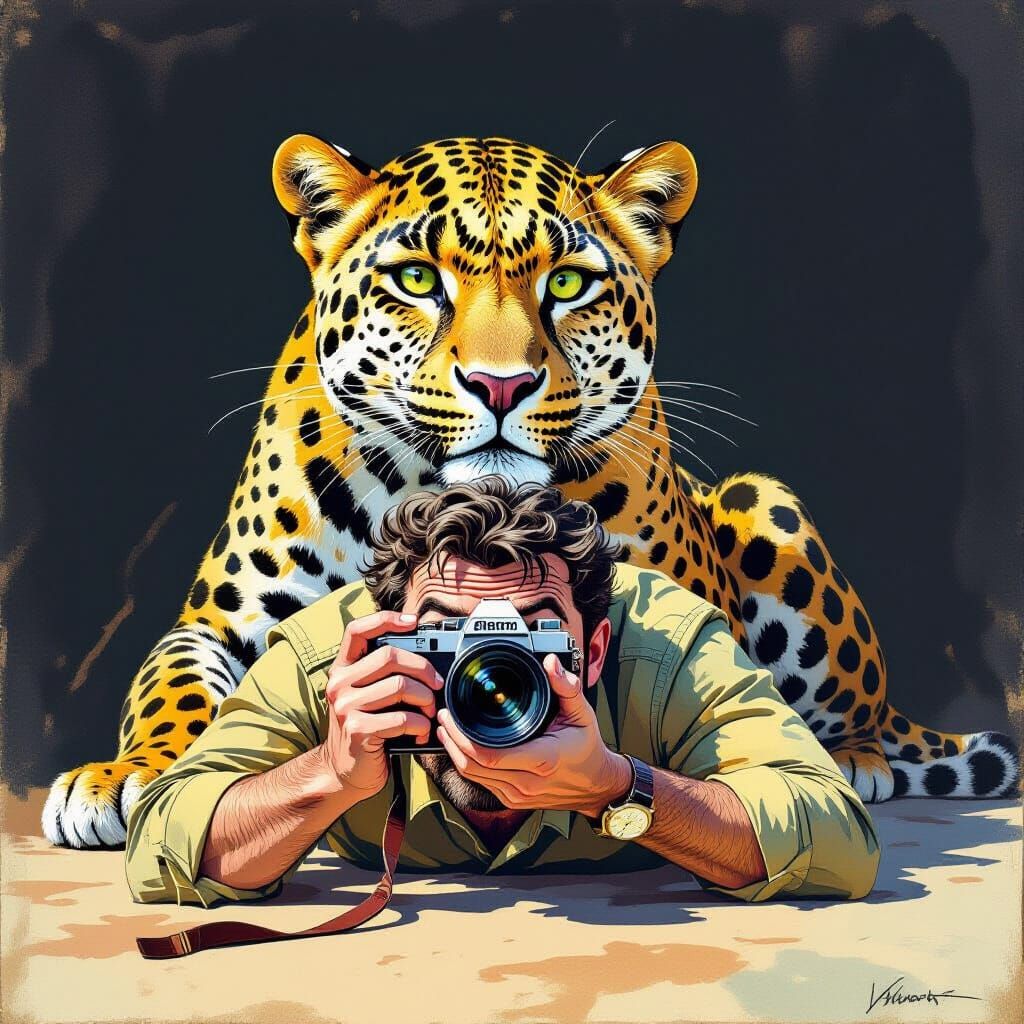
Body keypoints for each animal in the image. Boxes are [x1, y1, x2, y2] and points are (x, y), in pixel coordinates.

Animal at [43, 133, 1019, 847]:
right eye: (416, 278)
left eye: (568, 283)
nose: (502, 384)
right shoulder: (222, 617)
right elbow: (170, 683)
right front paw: (125, 777)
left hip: (764, 503)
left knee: (861, 712)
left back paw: (855, 753)